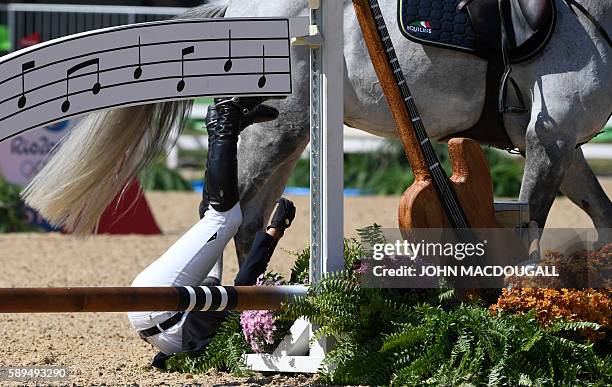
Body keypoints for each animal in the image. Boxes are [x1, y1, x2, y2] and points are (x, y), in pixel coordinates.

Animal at [23, 0, 612, 264]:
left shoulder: (565, 148)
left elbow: (603, 217)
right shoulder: (549, 140)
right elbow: (530, 231)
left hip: (287, 135)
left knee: (249, 220)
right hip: (274, 133)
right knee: (225, 213)